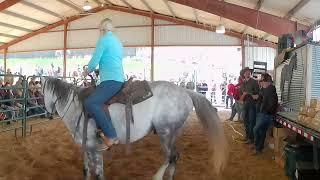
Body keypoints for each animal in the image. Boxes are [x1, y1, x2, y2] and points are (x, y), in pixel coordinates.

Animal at [41, 77, 229, 180]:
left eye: (42, 93)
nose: (48, 113)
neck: (77, 107)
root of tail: (185, 91)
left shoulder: (94, 147)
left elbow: (99, 173)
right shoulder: (85, 147)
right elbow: (86, 170)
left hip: (165, 132)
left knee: (170, 156)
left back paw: (157, 177)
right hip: (173, 133)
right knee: (175, 156)